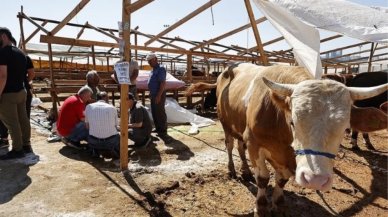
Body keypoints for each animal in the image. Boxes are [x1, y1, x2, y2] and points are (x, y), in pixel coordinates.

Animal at [186, 63, 386, 215]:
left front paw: (278, 203)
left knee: (240, 148)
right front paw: (261, 207)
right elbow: (263, 178)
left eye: (345, 127)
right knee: (229, 146)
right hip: (226, 124)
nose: (316, 180)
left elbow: (281, 180)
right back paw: (232, 170)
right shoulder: (254, 143)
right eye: (293, 122)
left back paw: (245, 170)